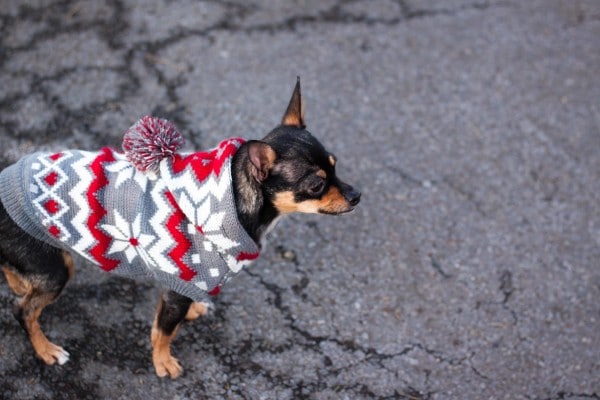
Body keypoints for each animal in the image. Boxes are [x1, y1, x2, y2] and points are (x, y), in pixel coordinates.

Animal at [0, 79, 360, 380]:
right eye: (316, 185)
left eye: (335, 166)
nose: (357, 195)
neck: (232, 198)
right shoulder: (176, 288)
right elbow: (163, 331)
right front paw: (163, 362)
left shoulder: (183, 285)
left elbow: (172, 318)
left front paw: (193, 311)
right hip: (56, 269)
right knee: (23, 311)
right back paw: (45, 349)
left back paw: (19, 283)